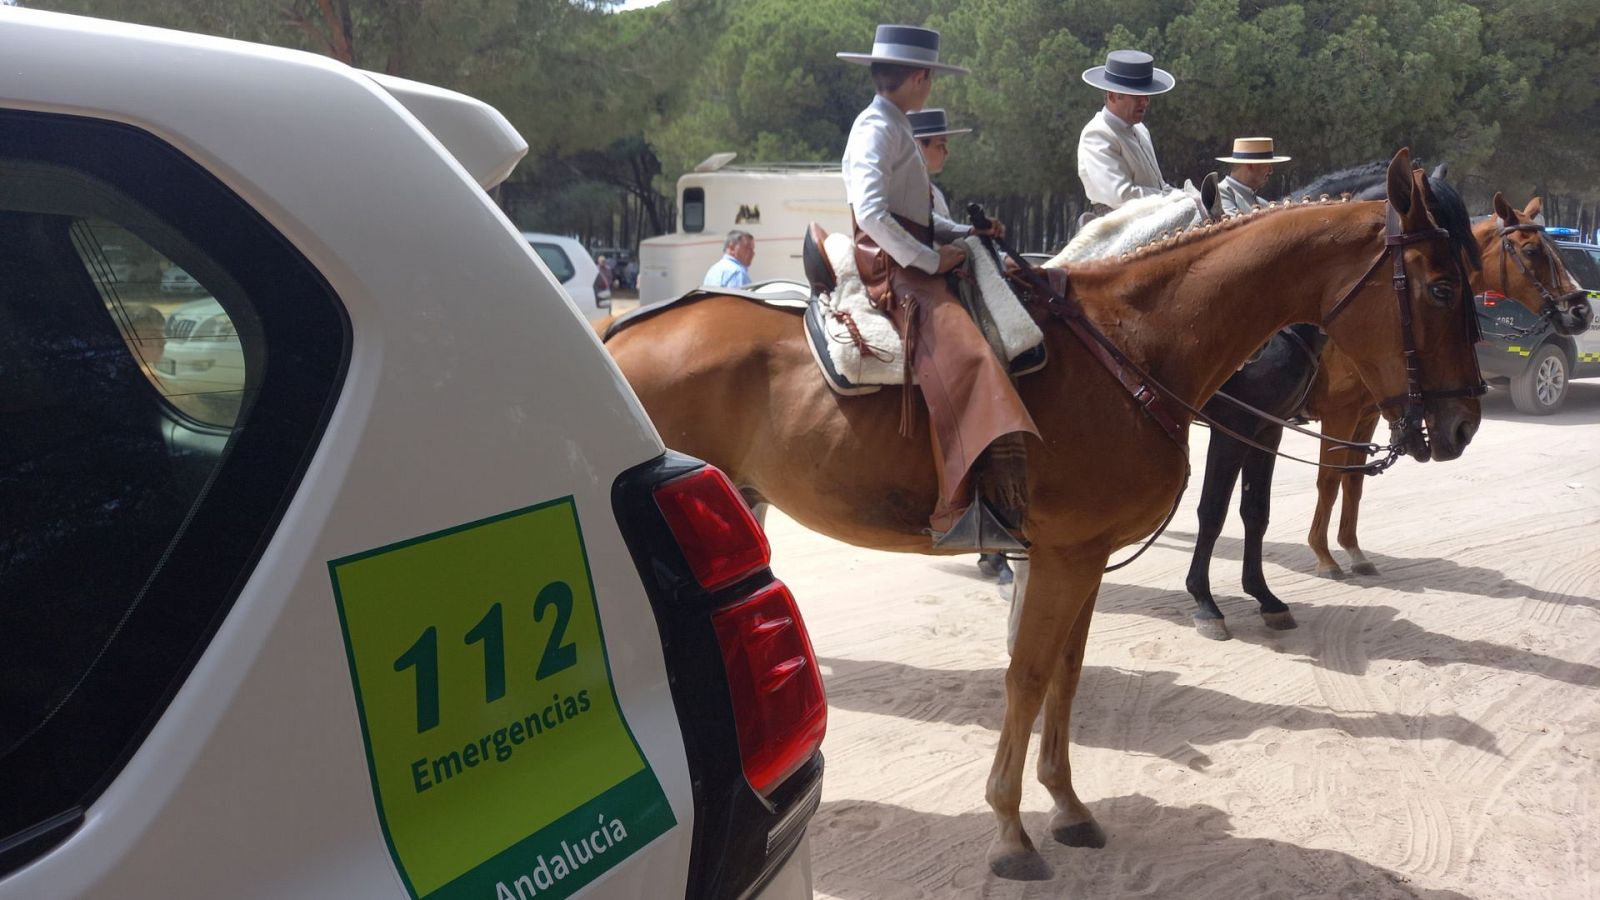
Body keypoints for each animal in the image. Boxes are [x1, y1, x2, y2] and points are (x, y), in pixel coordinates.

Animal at [601, 152, 1484, 877]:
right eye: (1442, 286)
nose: (1463, 425)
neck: (1134, 343)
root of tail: (620, 336)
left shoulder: (1082, 554)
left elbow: (1066, 671)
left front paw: (1066, 806)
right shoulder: (1061, 555)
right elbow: (1026, 676)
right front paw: (1010, 829)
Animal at [1305, 194, 1593, 573]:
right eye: (1532, 250)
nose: (1582, 311)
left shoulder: (1367, 415)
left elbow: (1353, 480)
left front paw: (1352, 548)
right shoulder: (1340, 413)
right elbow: (1328, 479)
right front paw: (1323, 554)